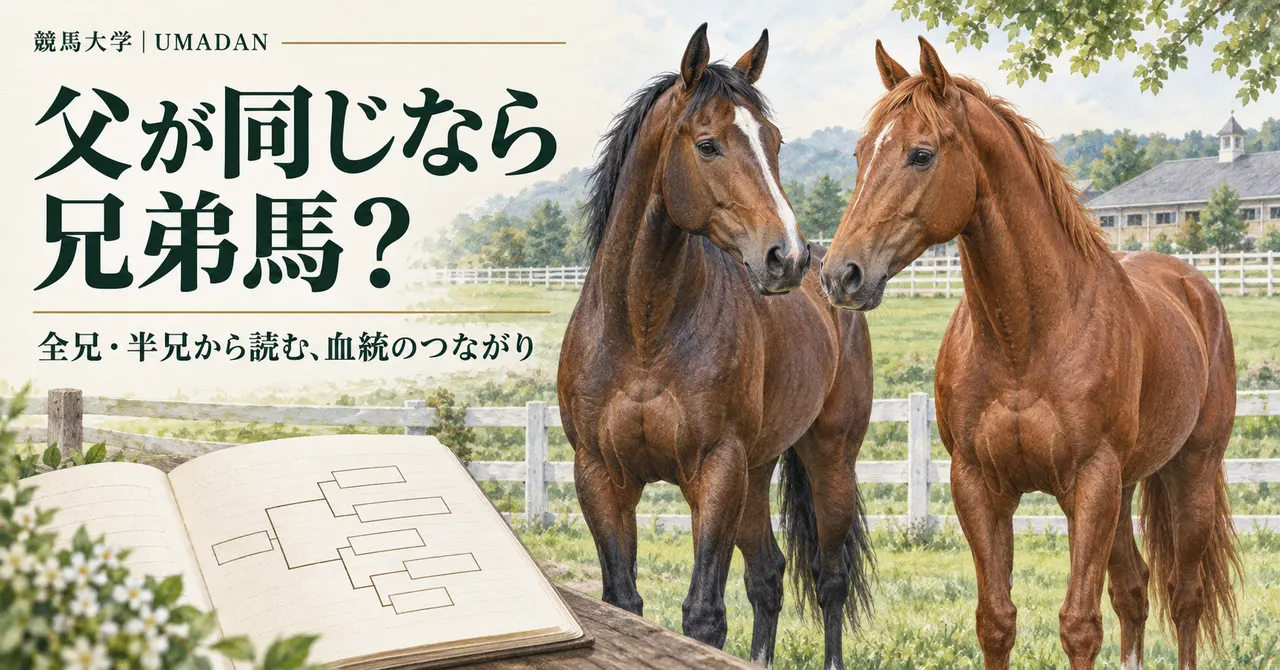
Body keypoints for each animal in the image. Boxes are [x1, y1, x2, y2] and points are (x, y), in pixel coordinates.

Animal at [558, 24, 875, 668]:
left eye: (774, 141)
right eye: (708, 145)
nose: (786, 257)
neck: (644, 335)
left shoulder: (716, 470)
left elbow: (704, 616)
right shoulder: (600, 475)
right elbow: (623, 602)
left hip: (829, 458)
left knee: (828, 579)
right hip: (757, 471)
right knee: (769, 577)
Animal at [820, 38, 1240, 670]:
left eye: (921, 154)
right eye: (860, 152)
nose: (841, 274)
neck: (1027, 341)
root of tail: (1194, 287)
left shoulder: (1089, 484)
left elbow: (1079, 626)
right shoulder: (980, 486)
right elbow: (996, 620)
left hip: (1191, 470)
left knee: (1183, 595)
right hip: (1126, 488)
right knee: (1134, 590)